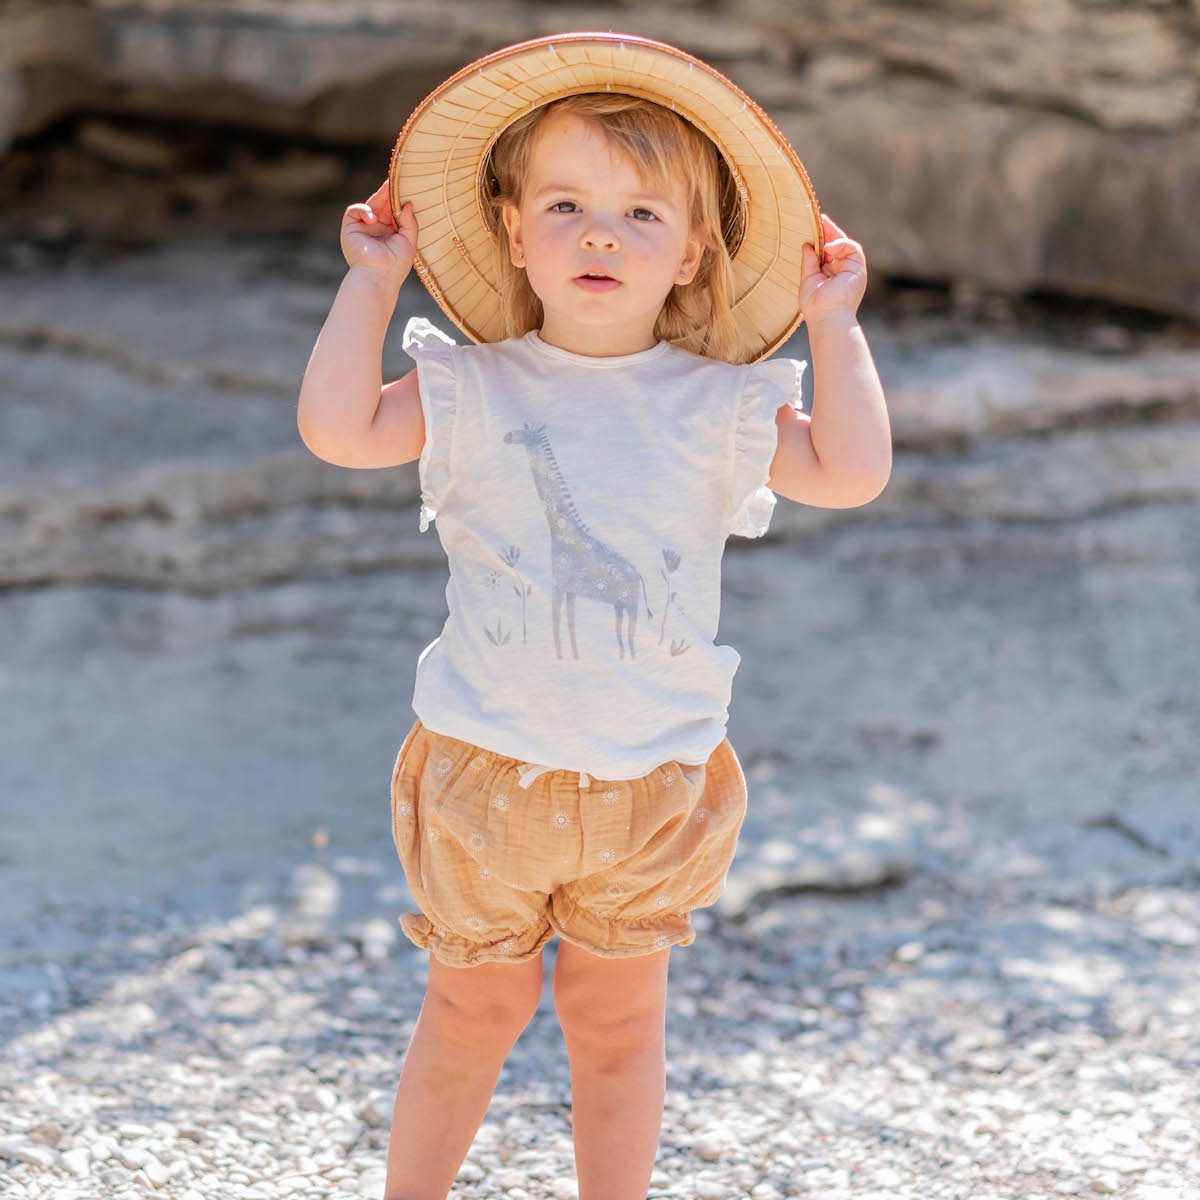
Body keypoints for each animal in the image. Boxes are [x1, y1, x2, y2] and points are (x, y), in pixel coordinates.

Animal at [504, 421, 653, 660]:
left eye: (527, 432)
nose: (507, 436)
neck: (560, 530)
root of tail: (638, 574)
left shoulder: (557, 583)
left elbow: (556, 624)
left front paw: (560, 658)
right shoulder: (571, 590)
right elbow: (571, 624)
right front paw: (574, 657)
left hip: (632, 605)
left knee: (632, 637)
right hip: (619, 604)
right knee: (620, 636)